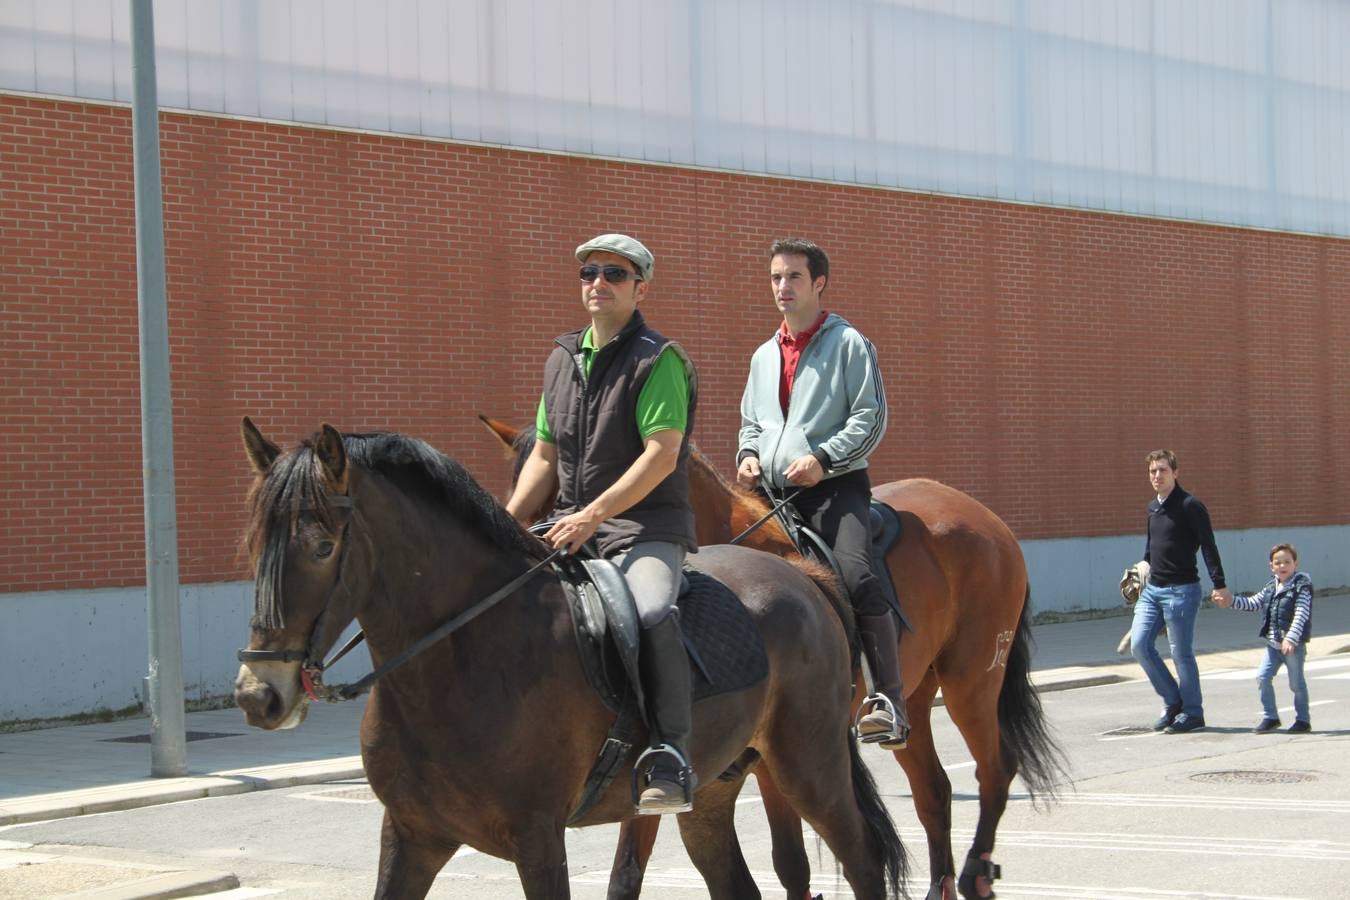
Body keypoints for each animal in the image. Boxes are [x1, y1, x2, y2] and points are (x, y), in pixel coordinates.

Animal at [232, 423, 907, 900]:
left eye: (322, 547)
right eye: (256, 542)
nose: (257, 694)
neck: (458, 661)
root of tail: (803, 576)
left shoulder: (537, 839)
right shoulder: (410, 836)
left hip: (808, 767)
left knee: (864, 863)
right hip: (716, 788)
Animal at [483, 418, 1063, 900]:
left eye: (573, 503)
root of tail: (985, 518)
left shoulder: (765, 756)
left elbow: (790, 863)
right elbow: (627, 874)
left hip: (971, 681)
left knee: (995, 770)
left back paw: (976, 873)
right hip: (915, 699)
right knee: (934, 792)